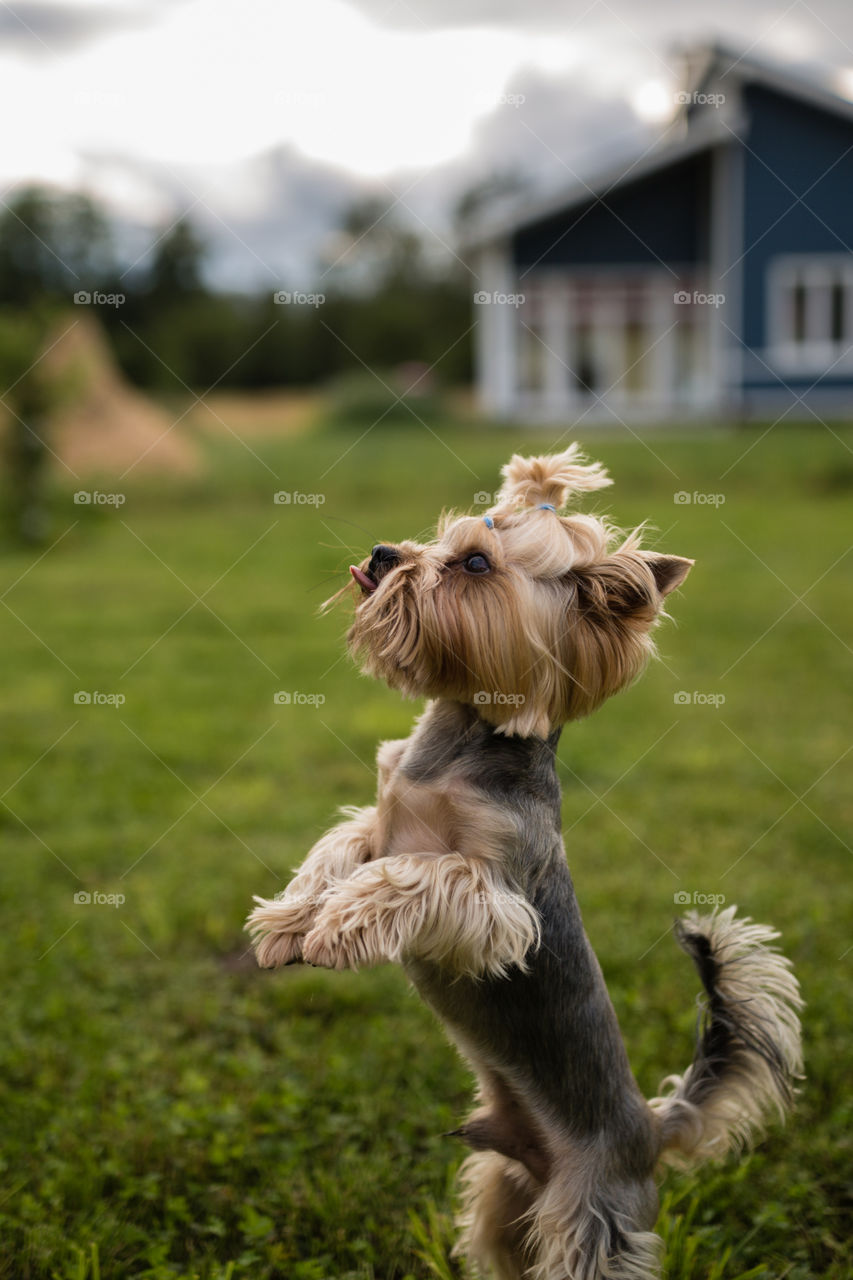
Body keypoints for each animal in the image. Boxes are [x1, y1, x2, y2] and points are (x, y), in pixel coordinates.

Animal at [244, 448, 799, 1280]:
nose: (383, 554)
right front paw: (288, 922)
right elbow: (336, 850)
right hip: (504, 1183)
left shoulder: (501, 898)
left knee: (582, 1252)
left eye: (473, 564)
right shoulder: (379, 817)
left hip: (588, 1207)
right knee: (503, 1238)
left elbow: (417, 874)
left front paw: (339, 928)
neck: (460, 737)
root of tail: (650, 1127)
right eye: (438, 539)